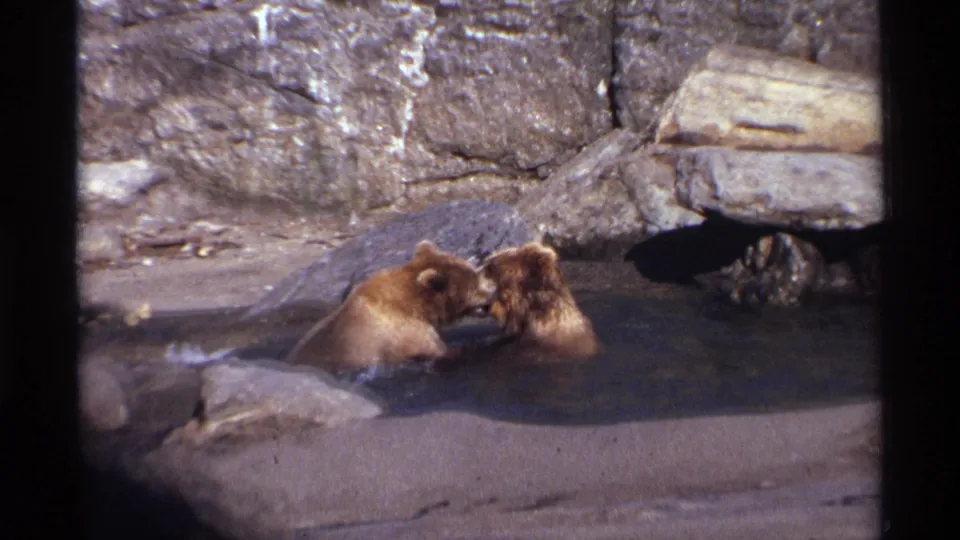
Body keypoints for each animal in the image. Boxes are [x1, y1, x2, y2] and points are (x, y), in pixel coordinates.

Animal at [284, 240, 497, 373]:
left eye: (474, 271)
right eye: (475, 282)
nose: (493, 292)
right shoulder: (404, 333)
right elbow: (440, 349)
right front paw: (469, 347)